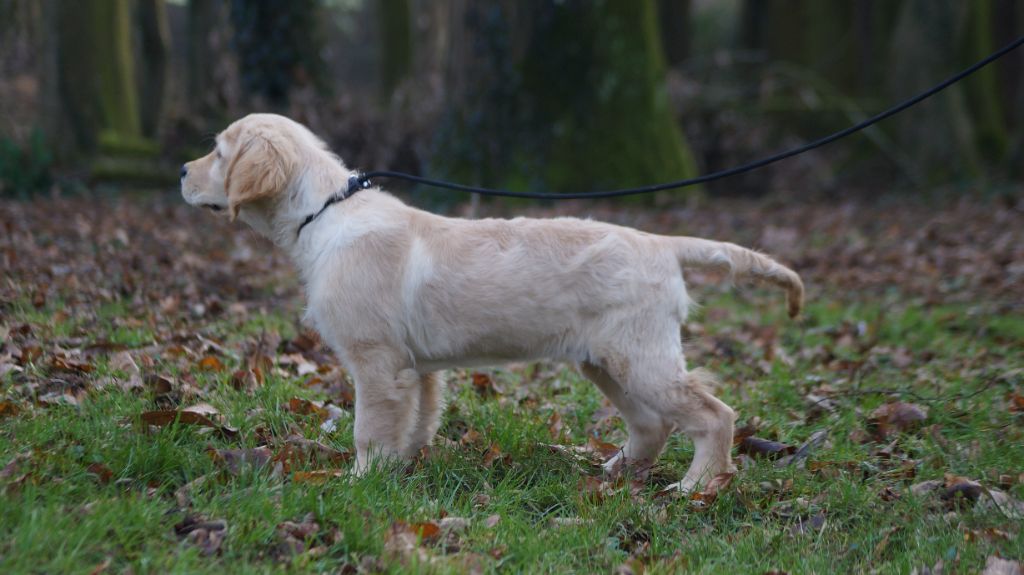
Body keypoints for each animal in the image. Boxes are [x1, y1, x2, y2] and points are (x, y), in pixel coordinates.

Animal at [186, 114, 806, 491]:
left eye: (217, 153)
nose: (180, 172)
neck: (325, 211)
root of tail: (661, 242)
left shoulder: (376, 361)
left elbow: (370, 428)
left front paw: (360, 482)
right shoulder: (416, 369)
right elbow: (417, 422)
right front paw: (401, 472)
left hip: (640, 357)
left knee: (714, 414)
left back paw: (698, 486)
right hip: (607, 361)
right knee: (652, 424)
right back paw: (616, 472)